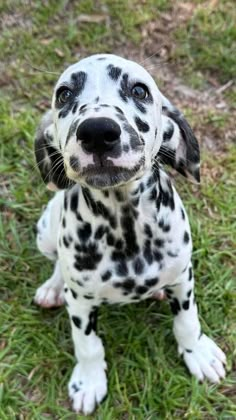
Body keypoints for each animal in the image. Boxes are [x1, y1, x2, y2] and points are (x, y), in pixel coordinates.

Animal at [33, 54, 227, 416]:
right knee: (57, 265)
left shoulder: (184, 277)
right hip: (45, 231)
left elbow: (187, 320)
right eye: (64, 95)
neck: (125, 226)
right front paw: (89, 380)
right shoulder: (80, 304)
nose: (97, 131)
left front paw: (197, 352)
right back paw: (53, 288)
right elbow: (88, 344)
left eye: (139, 90)